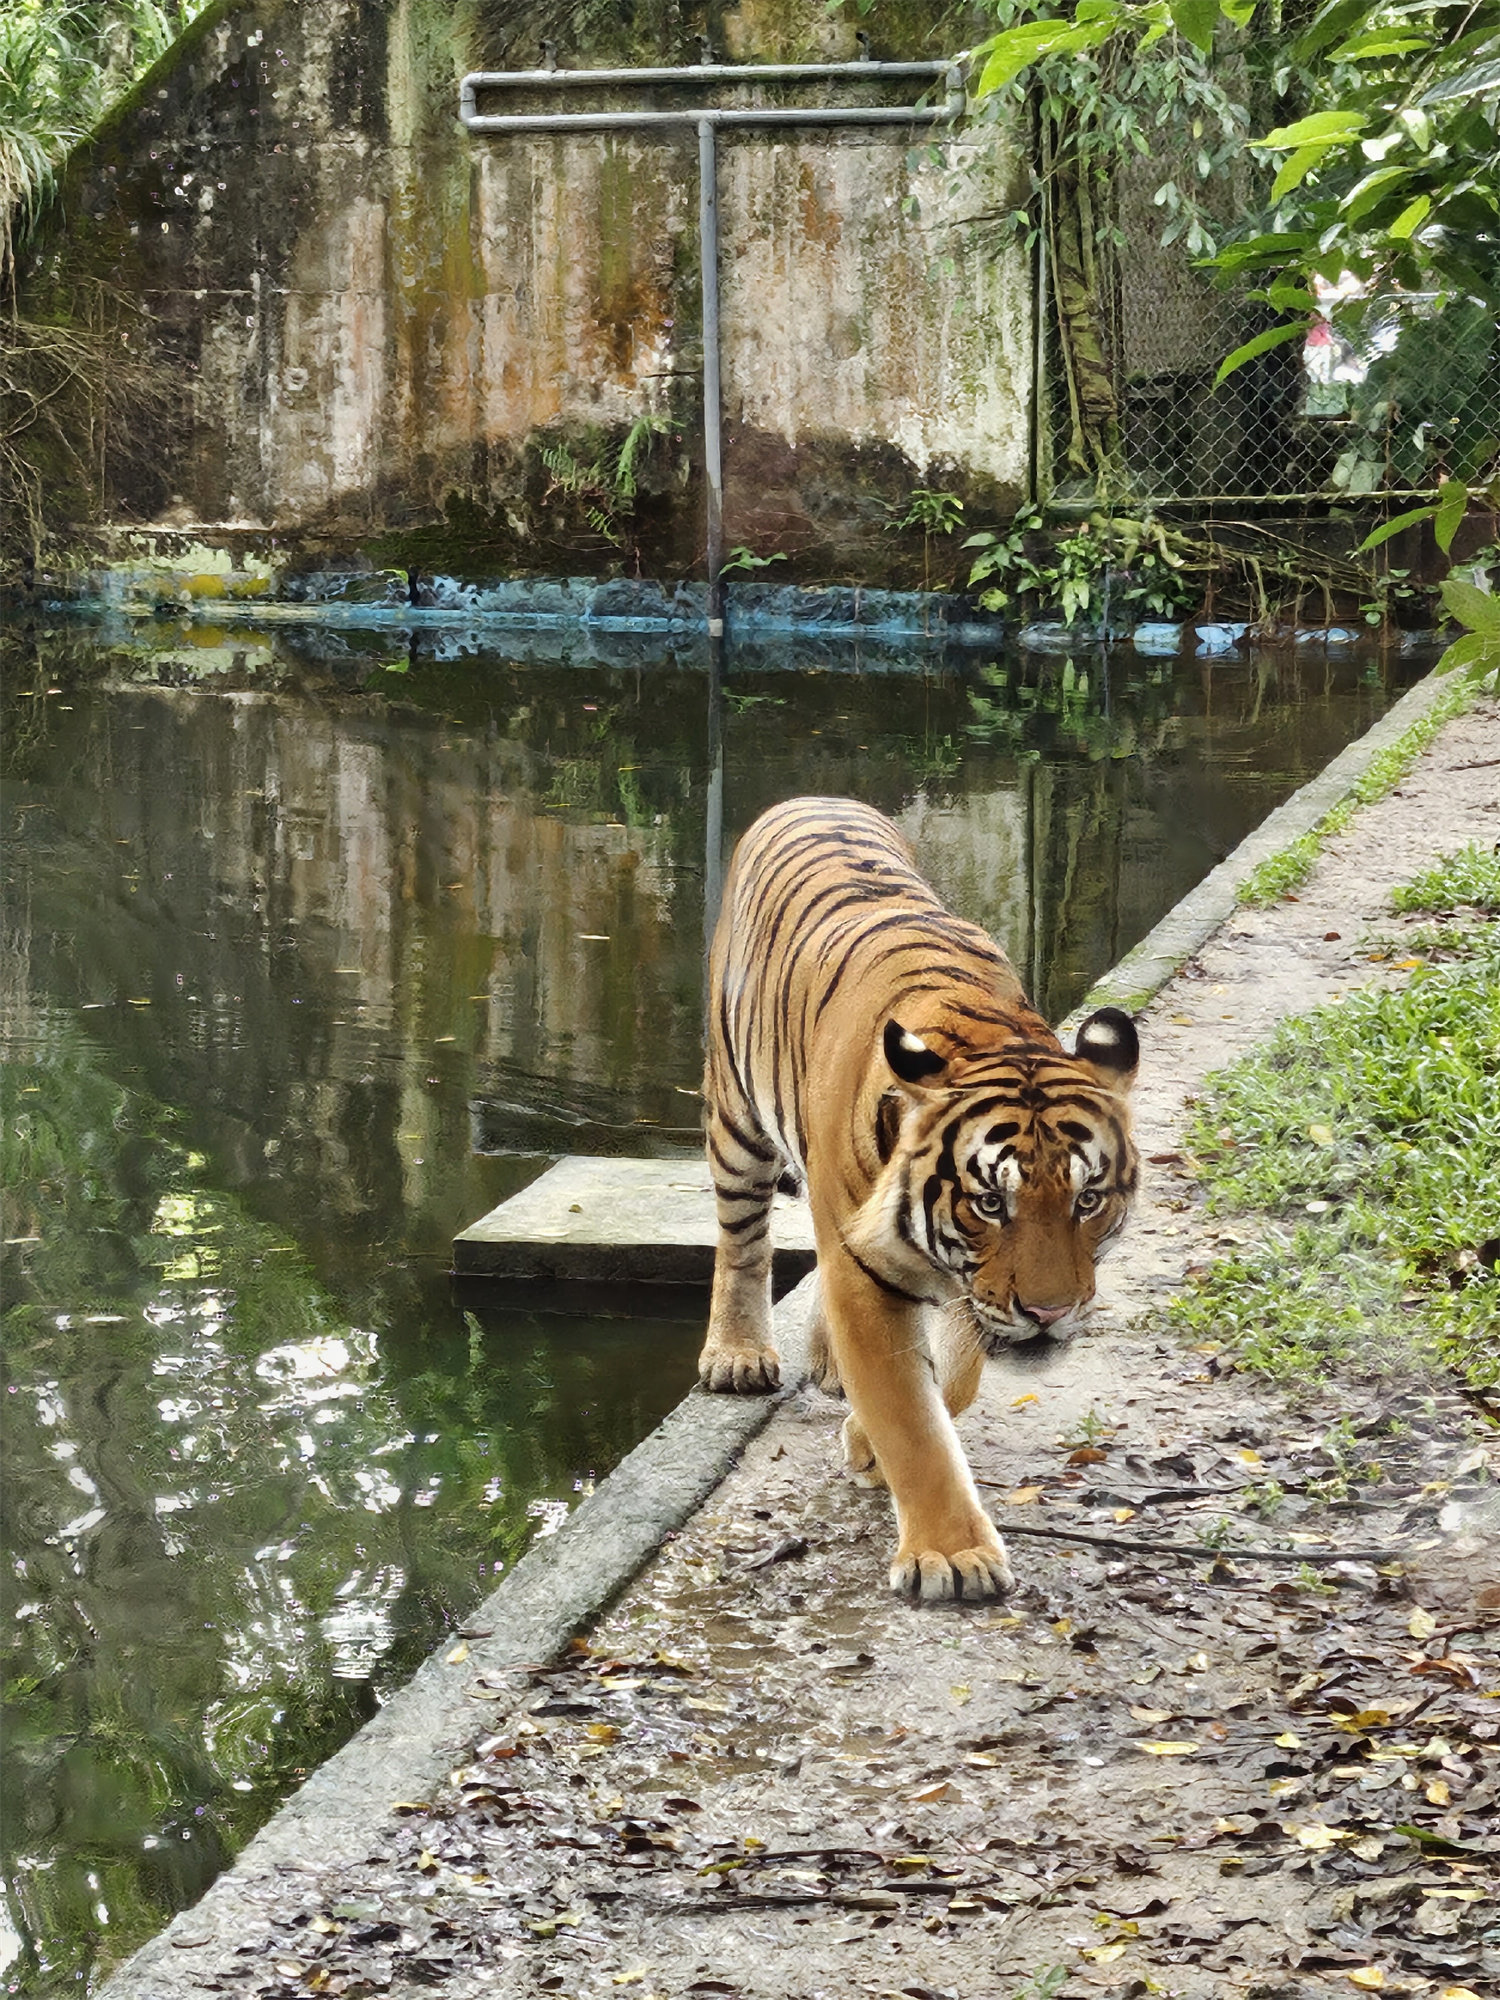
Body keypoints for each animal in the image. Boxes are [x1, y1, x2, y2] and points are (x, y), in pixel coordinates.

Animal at [704, 788, 1136, 1600]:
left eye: (1087, 1201)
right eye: (991, 1203)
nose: (1051, 1314)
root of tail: (813, 795)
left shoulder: (966, 1286)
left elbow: (954, 1381)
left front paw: (867, 1440)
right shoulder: (869, 1273)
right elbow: (911, 1414)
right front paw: (952, 1555)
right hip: (735, 1117)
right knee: (742, 1240)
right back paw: (738, 1354)